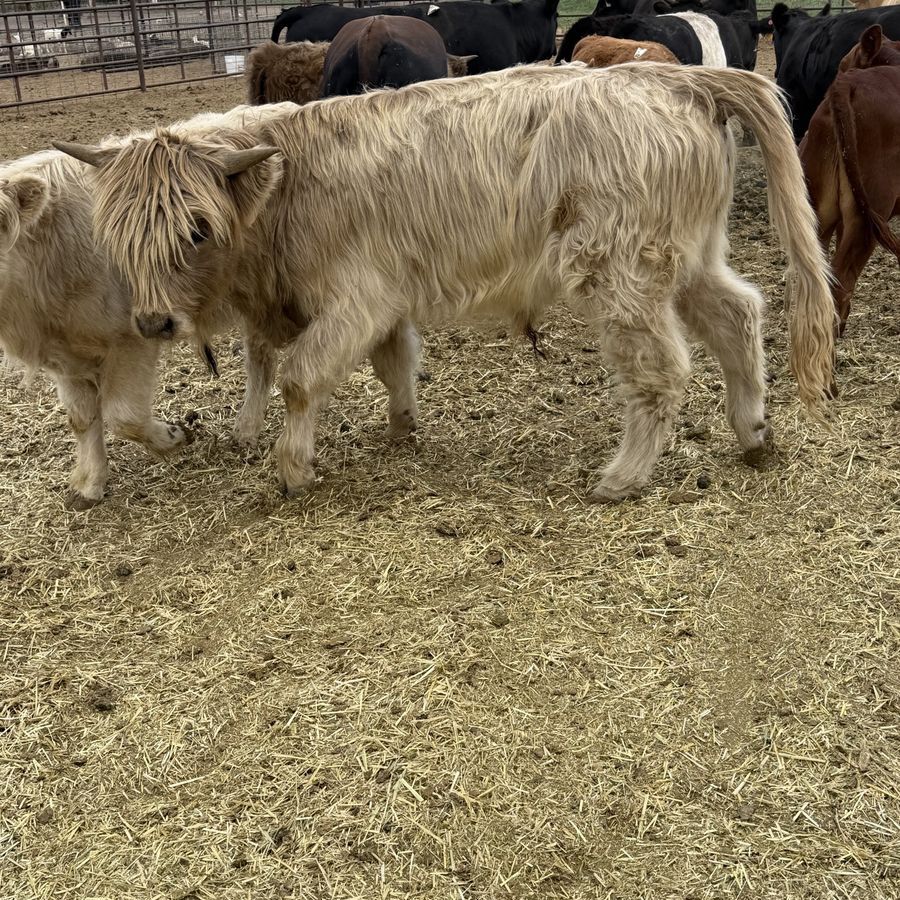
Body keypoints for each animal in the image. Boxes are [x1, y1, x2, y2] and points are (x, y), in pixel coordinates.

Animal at [55, 65, 835, 503]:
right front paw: (402, 428)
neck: (288, 183)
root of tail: (676, 79)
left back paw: (623, 477)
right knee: (738, 315)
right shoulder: (385, 303)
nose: (152, 322)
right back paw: (754, 433)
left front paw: (292, 470)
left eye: (196, 231)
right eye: (118, 235)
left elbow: (302, 376)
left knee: (661, 367)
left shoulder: (355, 299)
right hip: (690, 258)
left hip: (619, 274)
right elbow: (394, 363)